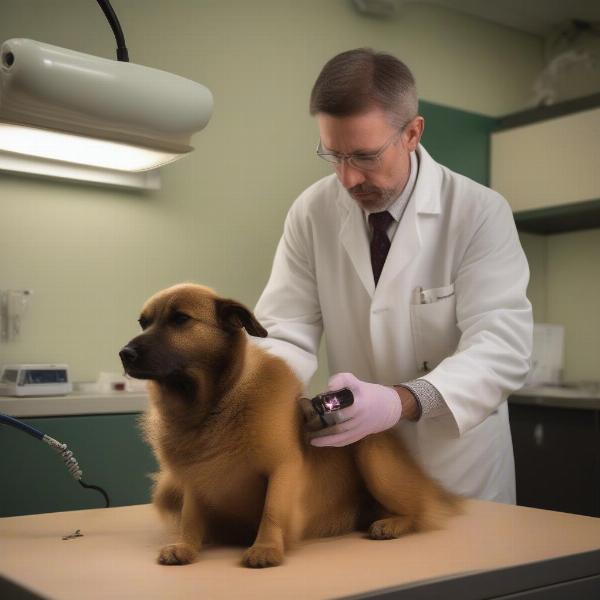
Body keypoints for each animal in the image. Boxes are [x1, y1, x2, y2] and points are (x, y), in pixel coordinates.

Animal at [120, 282, 460, 568]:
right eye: (143, 323)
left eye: (180, 319)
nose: (124, 354)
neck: (214, 406)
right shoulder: (193, 480)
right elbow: (191, 517)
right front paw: (186, 546)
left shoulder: (282, 468)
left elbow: (272, 511)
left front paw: (266, 548)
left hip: (372, 454)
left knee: (420, 511)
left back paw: (393, 523)